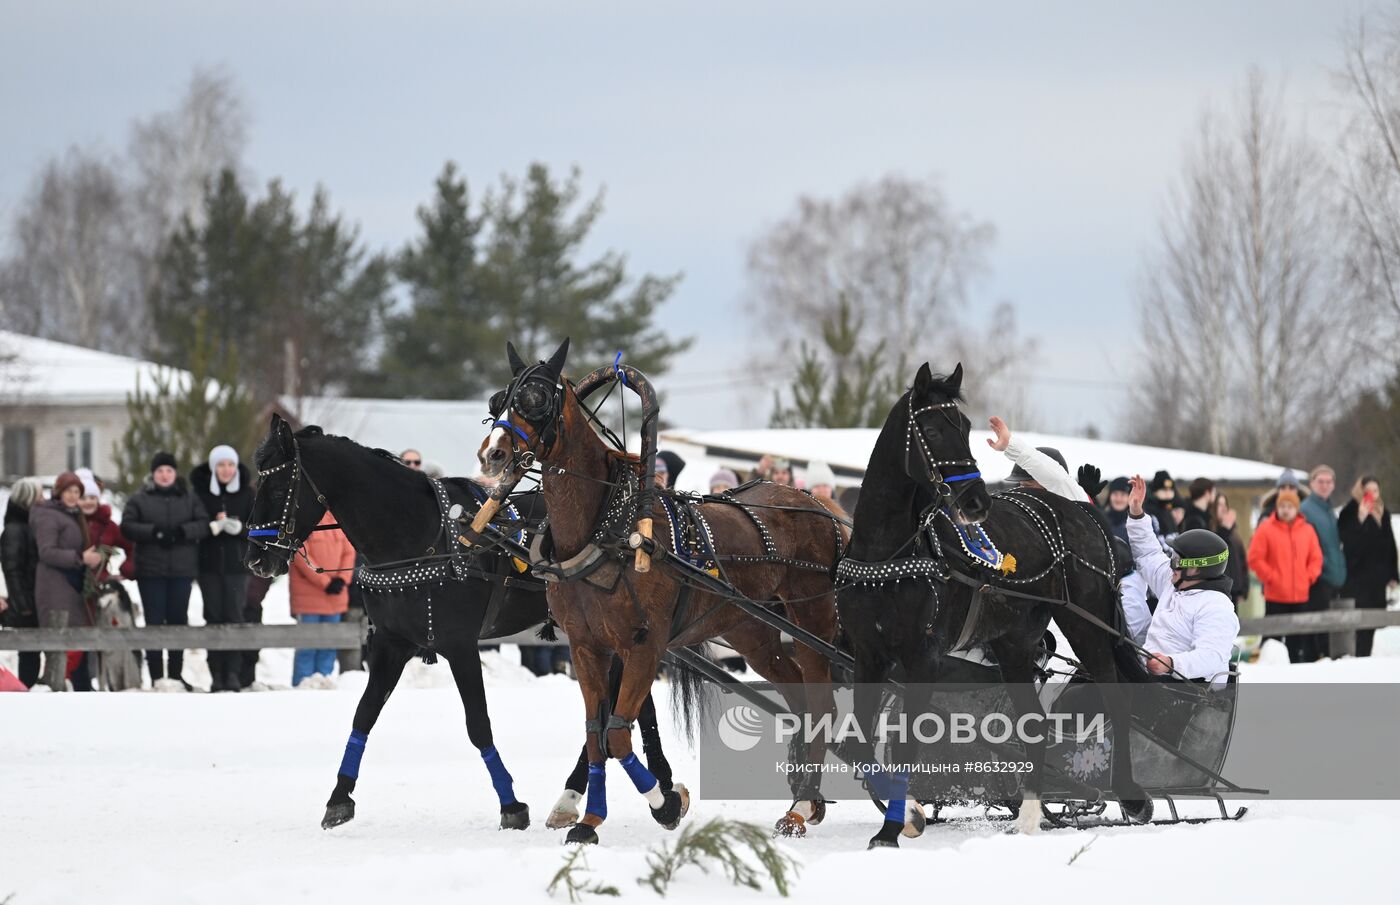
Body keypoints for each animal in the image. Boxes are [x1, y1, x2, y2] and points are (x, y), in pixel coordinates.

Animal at [242, 417, 677, 834]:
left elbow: (478, 725)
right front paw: (339, 797)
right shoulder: (390, 643)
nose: (256, 559)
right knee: (631, 706)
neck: (419, 536)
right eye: (259, 482)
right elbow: (363, 715)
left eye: (278, 486)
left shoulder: (460, 644)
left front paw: (511, 805)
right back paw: (645, 783)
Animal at [476, 339, 840, 846]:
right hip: (752, 630)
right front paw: (589, 819)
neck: (607, 531)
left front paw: (666, 803)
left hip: (813, 618)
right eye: (497, 401)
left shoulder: (643, 647)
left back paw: (804, 806)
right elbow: (596, 732)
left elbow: (617, 734)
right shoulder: (587, 647)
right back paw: (805, 796)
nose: (491, 454)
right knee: (798, 698)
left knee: (821, 701)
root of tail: (813, 502)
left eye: (536, 399)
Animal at [828, 361, 1148, 851]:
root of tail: (1079, 503)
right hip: (1015, 644)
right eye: (933, 430)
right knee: (1034, 723)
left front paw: (893, 827)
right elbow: (861, 743)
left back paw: (1130, 797)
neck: (888, 553)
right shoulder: (869, 656)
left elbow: (905, 744)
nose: (976, 500)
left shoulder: (922, 659)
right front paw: (906, 815)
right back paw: (1029, 818)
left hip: (1086, 624)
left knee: (1115, 698)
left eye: (965, 427)